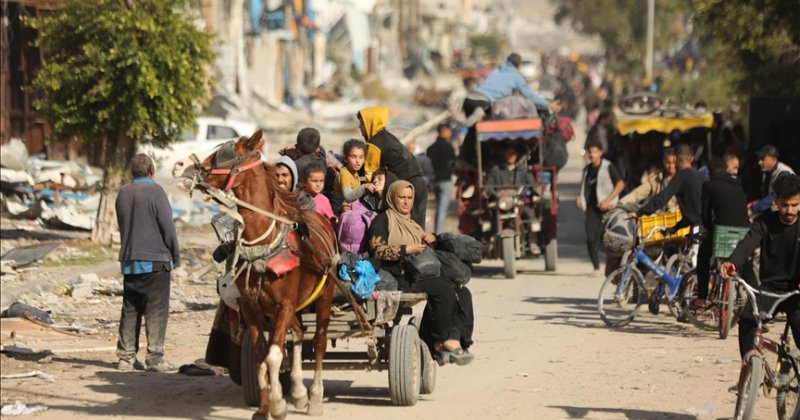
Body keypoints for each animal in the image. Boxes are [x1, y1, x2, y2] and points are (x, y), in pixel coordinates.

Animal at [175, 130, 338, 418]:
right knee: (298, 334)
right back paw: (298, 392)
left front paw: (277, 405)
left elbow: (274, 355)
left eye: (222, 154)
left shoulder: (284, 305)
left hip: (324, 296)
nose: (181, 165)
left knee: (319, 340)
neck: (265, 241)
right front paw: (266, 406)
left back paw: (316, 397)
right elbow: (262, 355)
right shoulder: (252, 307)